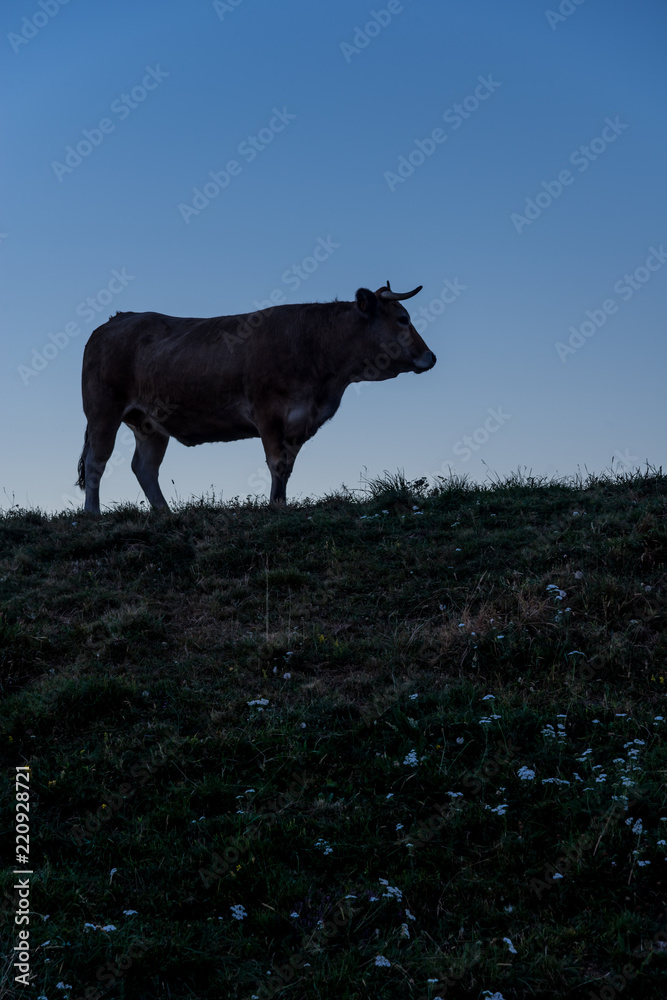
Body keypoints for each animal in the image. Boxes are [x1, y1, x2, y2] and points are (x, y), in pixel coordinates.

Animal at [77, 282, 436, 514]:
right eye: (403, 319)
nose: (430, 356)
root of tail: (117, 319)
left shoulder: (301, 420)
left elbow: (288, 465)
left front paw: (281, 503)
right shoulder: (269, 412)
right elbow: (276, 462)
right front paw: (275, 506)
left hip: (150, 423)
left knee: (145, 467)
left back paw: (165, 514)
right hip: (103, 410)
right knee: (97, 461)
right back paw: (92, 515)